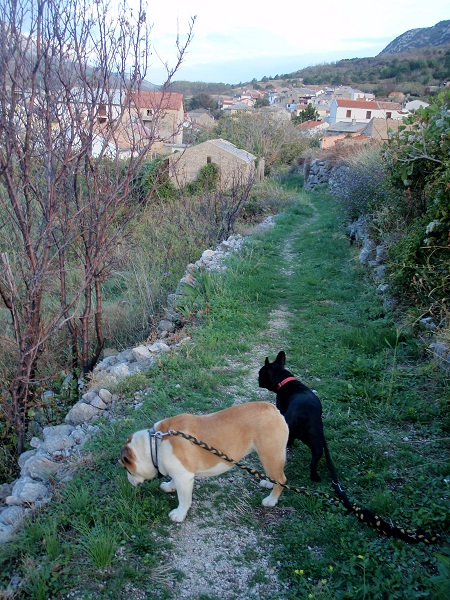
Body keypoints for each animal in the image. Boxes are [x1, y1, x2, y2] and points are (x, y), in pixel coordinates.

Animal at [260, 352, 326, 482]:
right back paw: (314, 477)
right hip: (317, 440)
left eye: (260, 373)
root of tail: (303, 415)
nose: (258, 379)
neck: (284, 381)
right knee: (314, 460)